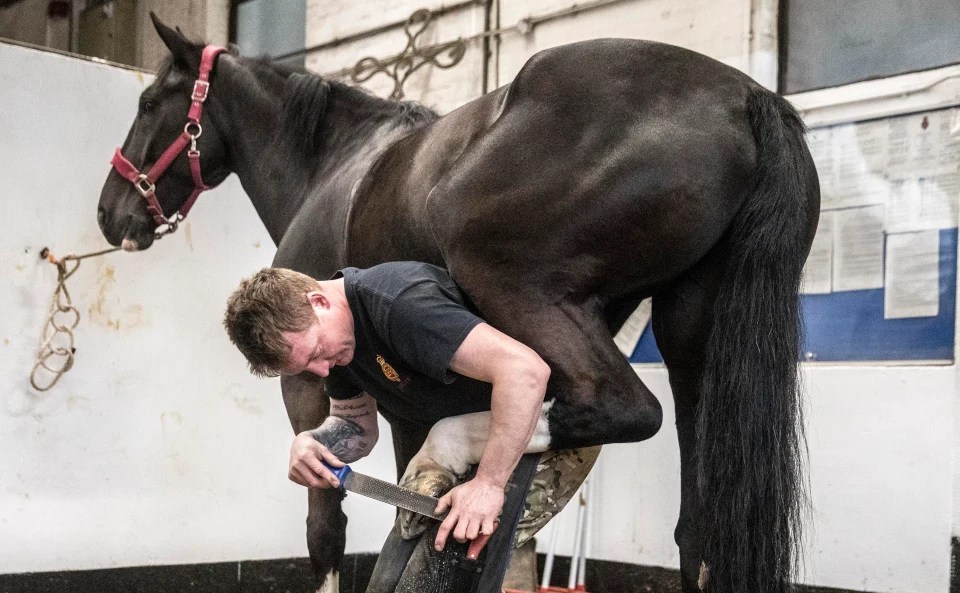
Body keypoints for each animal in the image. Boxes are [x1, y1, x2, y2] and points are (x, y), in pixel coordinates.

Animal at [97, 17, 816, 592]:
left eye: (149, 100)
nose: (109, 212)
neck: (330, 166)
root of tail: (748, 97)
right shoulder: (397, 406)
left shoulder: (308, 387)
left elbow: (327, 525)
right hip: (694, 345)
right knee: (698, 532)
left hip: (510, 280)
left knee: (616, 406)